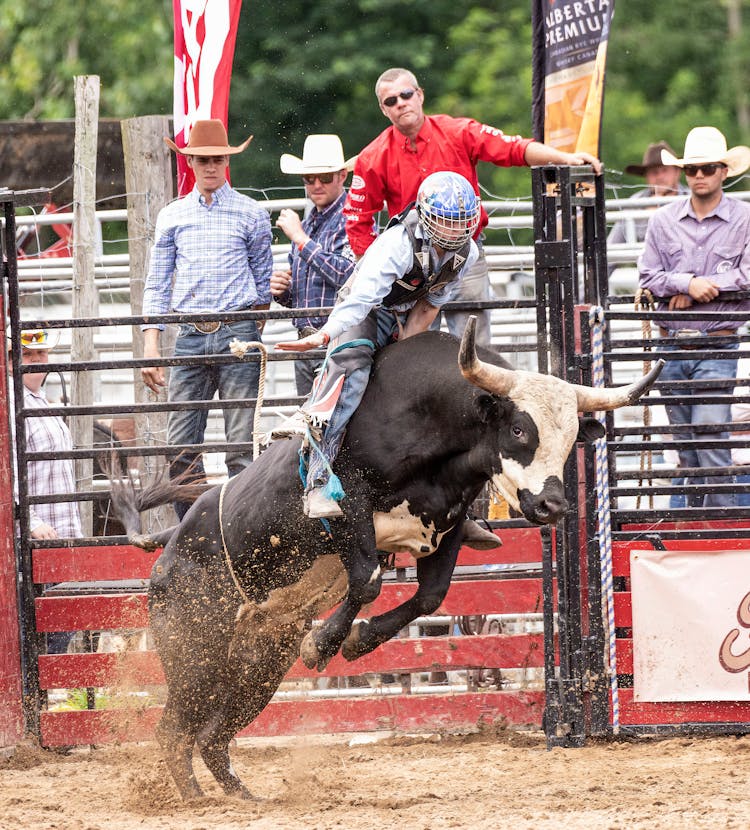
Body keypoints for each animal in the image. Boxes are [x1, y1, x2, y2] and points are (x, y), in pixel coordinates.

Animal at [111, 318, 664, 800]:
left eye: (569, 438)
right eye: (519, 431)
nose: (552, 506)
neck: (435, 424)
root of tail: (170, 546)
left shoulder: (446, 524)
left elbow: (430, 596)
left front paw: (357, 641)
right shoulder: (348, 501)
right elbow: (368, 581)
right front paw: (325, 643)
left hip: (257, 666)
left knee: (211, 735)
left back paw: (243, 797)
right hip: (193, 648)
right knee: (172, 730)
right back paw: (192, 798)